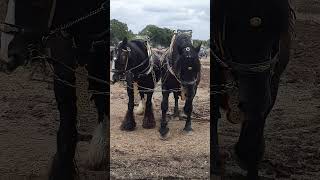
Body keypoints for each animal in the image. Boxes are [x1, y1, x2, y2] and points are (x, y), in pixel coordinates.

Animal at [0, 0, 109, 179]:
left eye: (37, 2)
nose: (6, 57)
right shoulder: (62, 53)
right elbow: (67, 108)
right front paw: (63, 167)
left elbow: (103, 95)